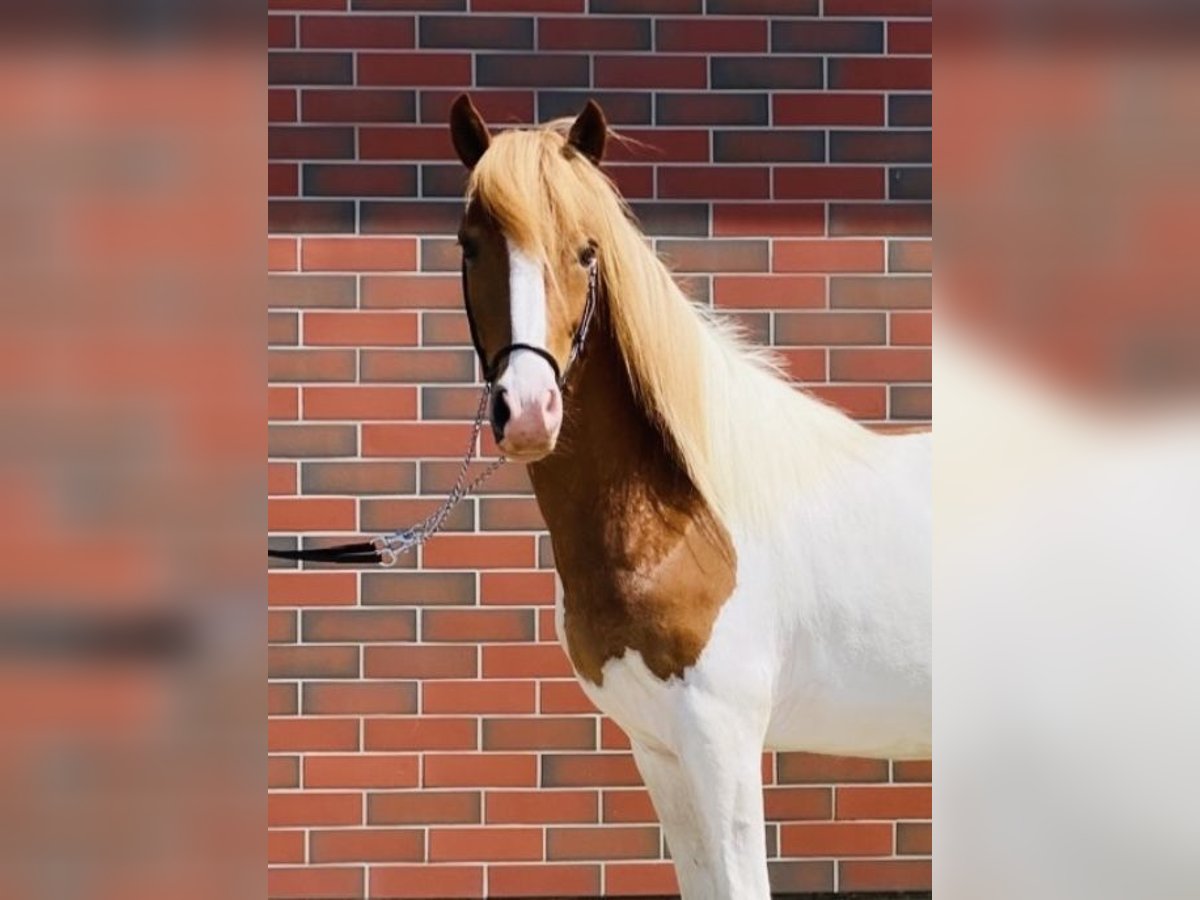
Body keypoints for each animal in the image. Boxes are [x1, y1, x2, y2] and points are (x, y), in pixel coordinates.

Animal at [448, 97, 926, 900]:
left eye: (587, 252)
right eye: (470, 245)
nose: (529, 411)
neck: (684, 523)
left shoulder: (720, 739)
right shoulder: (660, 747)